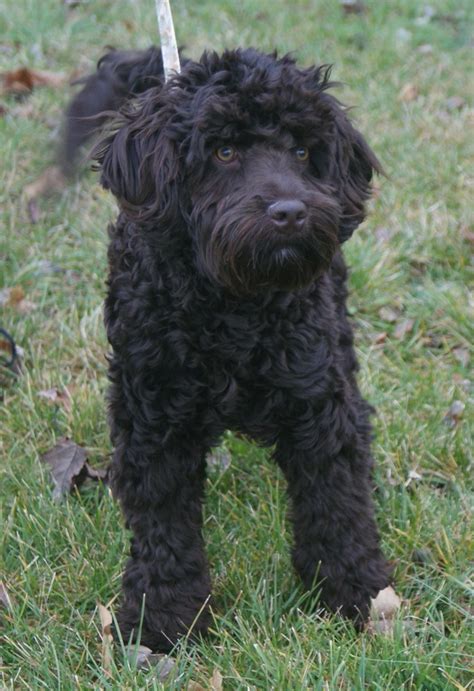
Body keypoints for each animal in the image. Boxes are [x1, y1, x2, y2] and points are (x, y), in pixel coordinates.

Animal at [65, 46, 392, 652]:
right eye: (223, 151)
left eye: (302, 150)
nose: (289, 211)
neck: (233, 306)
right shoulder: (154, 420)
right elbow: (163, 525)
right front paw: (164, 619)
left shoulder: (317, 403)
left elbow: (337, 502)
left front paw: (358, 592)